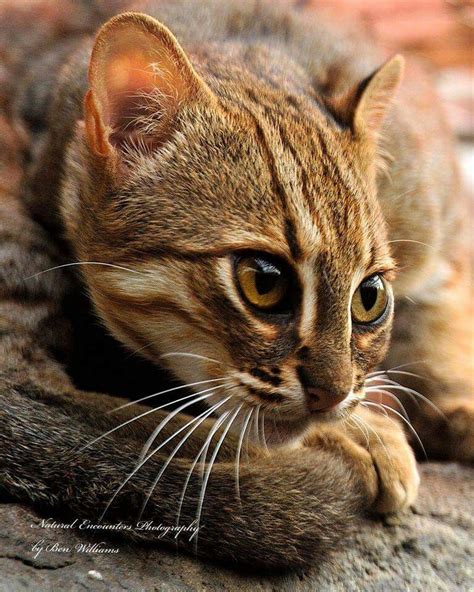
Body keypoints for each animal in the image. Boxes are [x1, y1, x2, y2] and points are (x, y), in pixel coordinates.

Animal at [0, 0, 472, 572]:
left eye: (370, 297)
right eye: (263, 283)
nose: (334, 397)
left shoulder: (438, 211)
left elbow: (442, 312)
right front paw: (359, 431)